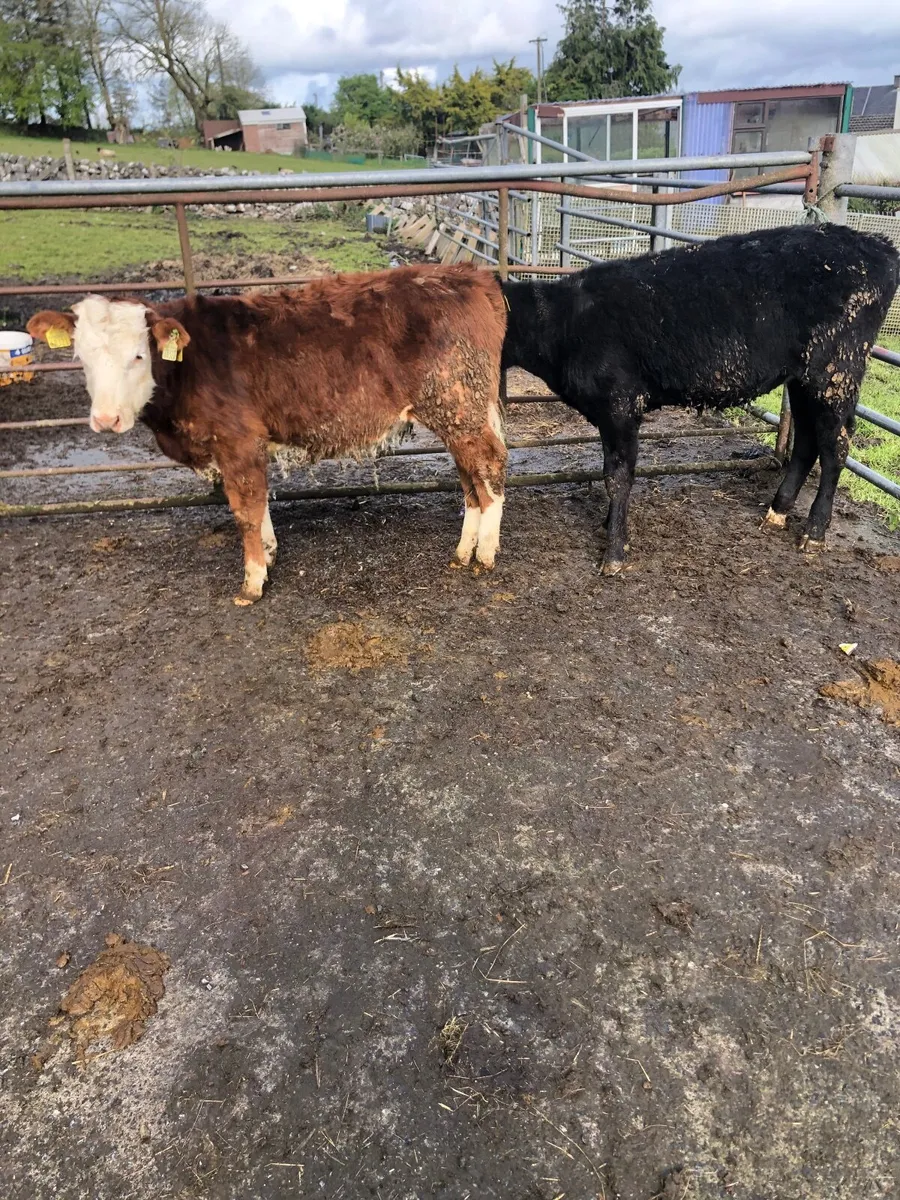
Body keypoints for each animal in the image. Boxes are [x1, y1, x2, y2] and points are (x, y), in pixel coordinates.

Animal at [28, 264, 508, 604]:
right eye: (82, 356)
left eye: (138, 355)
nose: (106, 419)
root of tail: (471, 273)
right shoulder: (247, 446)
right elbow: (258, 506)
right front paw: (270, 552)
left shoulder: (236, 440)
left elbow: (245, 508)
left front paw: (253, 580)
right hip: (459, 411)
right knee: (469, 474)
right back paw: (464, 549)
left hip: (457, 402)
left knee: (491, 464)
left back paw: (485, 553)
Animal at [500, 223, 899, 574]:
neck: (565, 322)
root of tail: (878, 245)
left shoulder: (621, 403)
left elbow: (617, 475)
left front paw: (614, 551)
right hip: (803, 379)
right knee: (806, 440)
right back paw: (777, 512)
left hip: (836, 372)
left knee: (836, 447)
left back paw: (814, 532)